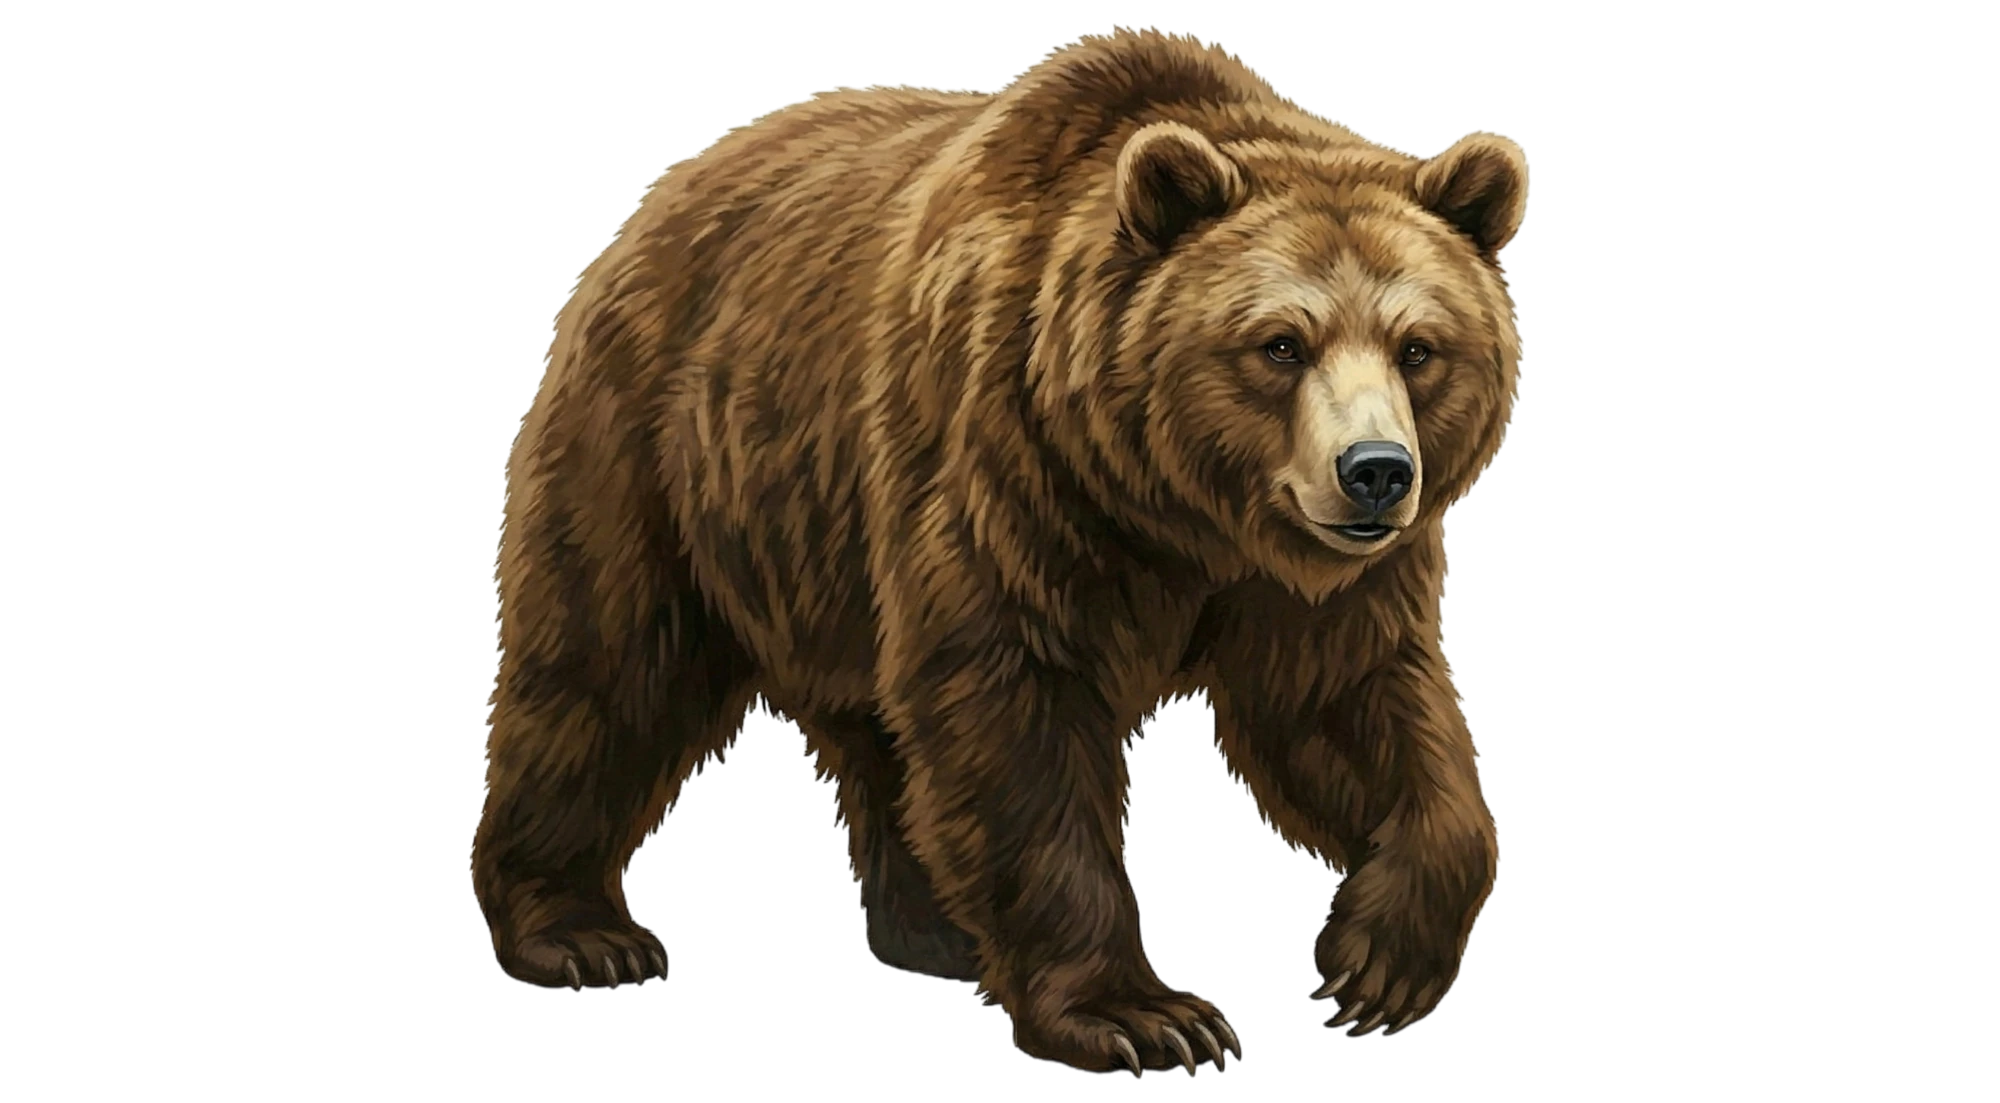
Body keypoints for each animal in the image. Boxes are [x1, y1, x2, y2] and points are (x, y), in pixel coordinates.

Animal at [475, 26, 1527, 1075]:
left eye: (1419, 346)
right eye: (1279, 343)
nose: (1376, 471)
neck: (1181, 509)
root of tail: (668, 191)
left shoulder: (1308, 580)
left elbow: (1350, 698)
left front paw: (1379, 961)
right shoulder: (1011, 469)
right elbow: (1015, 708)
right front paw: (1145, 1015)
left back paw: (935, 927)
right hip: (667, 447)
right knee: (606, 664)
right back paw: (576, 928)